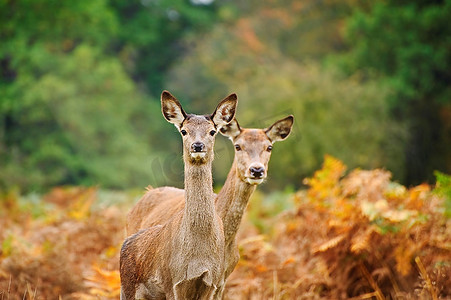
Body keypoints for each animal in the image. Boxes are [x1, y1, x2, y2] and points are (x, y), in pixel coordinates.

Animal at [120, 91, 240, 300]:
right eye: (184, 131)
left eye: (212, 131)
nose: (197, 146)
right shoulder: (172, 282)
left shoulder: (213, 282)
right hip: (127, 288)